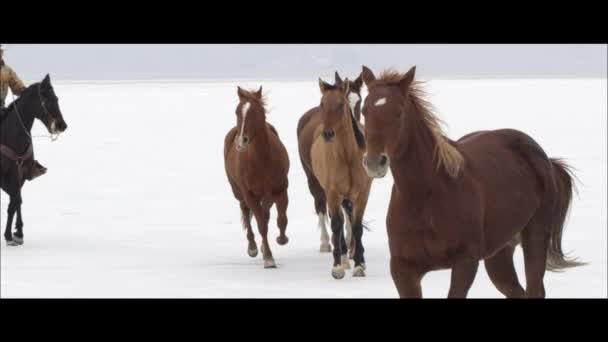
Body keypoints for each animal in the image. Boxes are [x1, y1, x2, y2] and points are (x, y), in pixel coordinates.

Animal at [0, 75, 67, 246]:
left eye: (56, 98)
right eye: (46, 99)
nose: (62, 125)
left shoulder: (20, 174)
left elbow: (16, 201)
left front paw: (17, 233)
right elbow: (15, 200)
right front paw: (9, 235)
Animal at [223, 85, 290, 268]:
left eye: (257, 112)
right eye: (237, 111)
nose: (242, 141)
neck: (262, 160)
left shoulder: (281, 190)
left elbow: (282, 219)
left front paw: (281, 239)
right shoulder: (250, 195)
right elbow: (261, 224)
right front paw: (268, 257)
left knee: (266, 212)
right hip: (239, 193)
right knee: (246, 212)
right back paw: (253, 246)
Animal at [296, 73, 368, 280]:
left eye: (341, 104)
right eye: (323, 103)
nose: (328, 133)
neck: (348, 155)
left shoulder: (362, 192)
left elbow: (357, 225)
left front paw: (359, 263)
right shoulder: (333, 192)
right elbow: (337, 223)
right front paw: (338, 266)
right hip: (315, 183)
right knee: (322, 208)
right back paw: (327, 245)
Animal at [360, 66, 584, 296]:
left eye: (399, 112)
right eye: (364, 111)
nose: (374, 163)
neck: (426, 196)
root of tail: (544, 158)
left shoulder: (465, 263)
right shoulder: (402, 269)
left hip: (535, 238)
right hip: (500, 254)